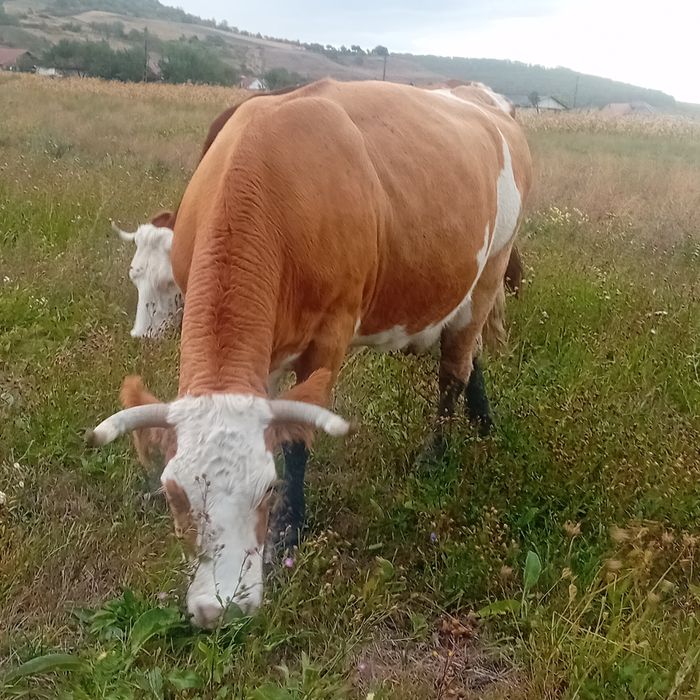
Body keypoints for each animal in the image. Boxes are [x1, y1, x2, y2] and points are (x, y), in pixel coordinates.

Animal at [88, 79, 532, 628]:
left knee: (454, 366)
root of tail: (479, 95)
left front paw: (290, 530)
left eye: (267, 488)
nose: (222, 608)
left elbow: (298, 438)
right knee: (470, 357)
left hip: (491, 268)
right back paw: (483, 422)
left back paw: (437, 454)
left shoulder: (330, 333)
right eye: (175, 494)